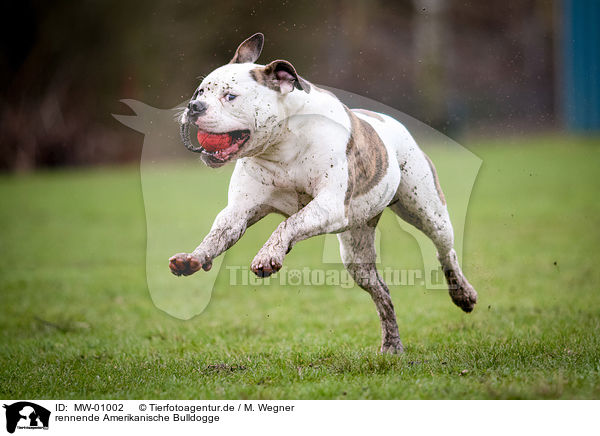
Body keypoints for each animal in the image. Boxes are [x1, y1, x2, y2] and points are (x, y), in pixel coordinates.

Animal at [170, 34, 478, 354]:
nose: (194, 106)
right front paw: (194, 257)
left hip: (428, 212)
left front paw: (268, 255)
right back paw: (392, 345)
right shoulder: (238, 211)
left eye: (230, 96)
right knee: (381, 292)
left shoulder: (329, 205)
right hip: (356, 253)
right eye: (200, 91)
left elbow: (288, 224)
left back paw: (463, 294)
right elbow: (217, 234)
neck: (283, 143)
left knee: (446, 252)